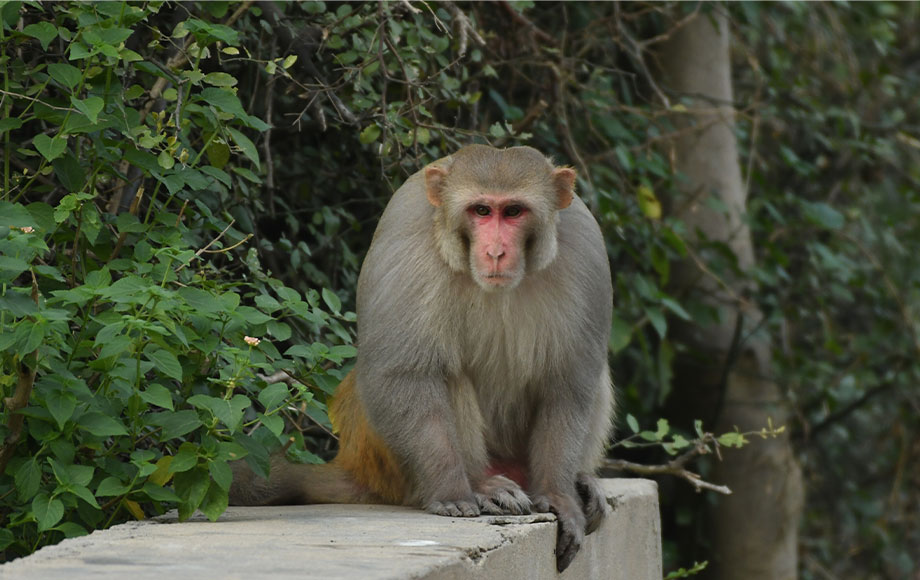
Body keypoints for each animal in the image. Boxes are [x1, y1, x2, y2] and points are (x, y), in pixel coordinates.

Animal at [230, 144, 616, 572]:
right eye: (481, 210)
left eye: (514, 211)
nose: (496, 251)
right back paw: (481, 483)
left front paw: (560, 497)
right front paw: (454, 490)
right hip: (388, 463)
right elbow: (404, 373)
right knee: (446, 374)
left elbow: (569, 382)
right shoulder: (406, 230)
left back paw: (579, 481)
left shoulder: (586, 247)